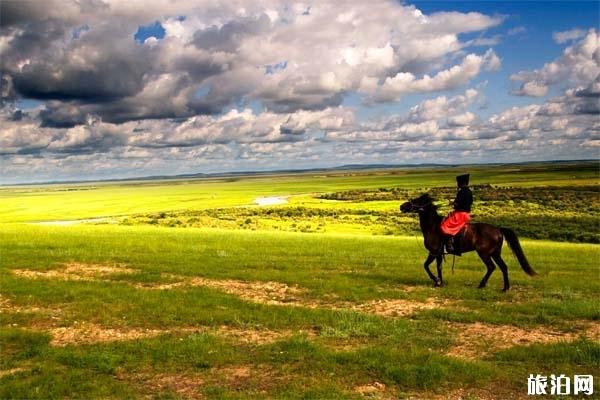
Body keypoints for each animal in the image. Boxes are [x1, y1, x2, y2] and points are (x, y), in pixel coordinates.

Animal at [400, 194, 536, 290]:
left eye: (417, 200)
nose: (402, 206)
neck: (433, 226)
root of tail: (498, 229)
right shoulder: (436, 253)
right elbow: (433, 266)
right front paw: (439, 282)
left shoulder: (435, 252)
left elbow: (430, 266)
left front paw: (437, 281)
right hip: (495, 253)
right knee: (503, 267)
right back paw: (505, 288)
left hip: (484, 253)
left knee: (491, 267)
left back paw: (482, 285)